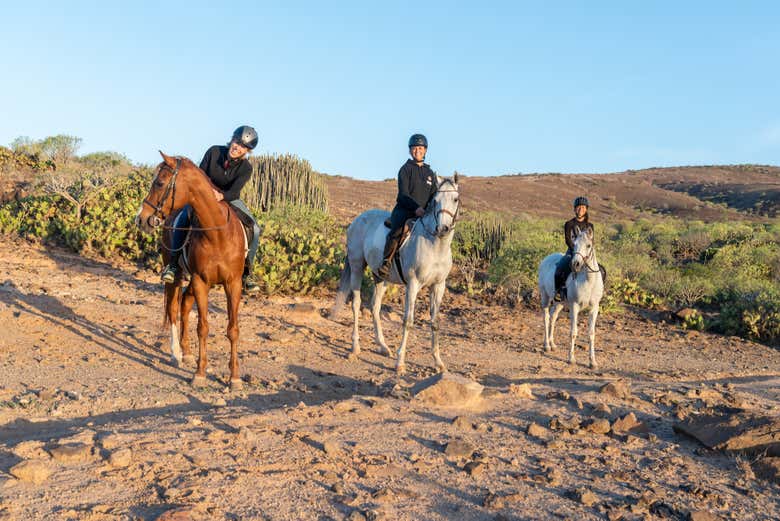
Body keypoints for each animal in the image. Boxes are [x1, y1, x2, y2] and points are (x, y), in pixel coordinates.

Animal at [135, 152, 248, 389]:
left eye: (159, 183)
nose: (140, 218)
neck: (217, 234)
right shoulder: (200, 281)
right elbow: (203, 327)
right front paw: (200, 374)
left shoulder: (233, 284)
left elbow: (233, 329)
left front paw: (234, 378)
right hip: (177, 275)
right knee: (173, 308)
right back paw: (176, 353)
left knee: (185, 304)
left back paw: (186, 352)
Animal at [330, 174, 460, 375]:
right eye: (435, 201)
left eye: (455, 199)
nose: (443, 229)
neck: (434, 245)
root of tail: (356, 220)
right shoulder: (413, 284)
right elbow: (408, 321)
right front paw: (400, 362)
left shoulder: (439, 286)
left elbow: (435, 322)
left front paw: (438, 362)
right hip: (357, 267)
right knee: (356, 304)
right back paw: (355, 346)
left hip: (381, 278)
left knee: (375, 307)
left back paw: (383, 346)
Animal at [537, 226, 604, 368]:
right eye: (574, 245)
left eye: (588, 245)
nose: (576, 264)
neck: (588, 281)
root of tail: (547, 258)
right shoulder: (574, 307)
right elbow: (573, 332)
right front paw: (571, 358)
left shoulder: (594, 308)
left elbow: (591, 334)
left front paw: (592, 361)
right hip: (545, 296)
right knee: (546, 317)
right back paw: (546, 345)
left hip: (559, 303)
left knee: (553, 317)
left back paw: (552, 344)